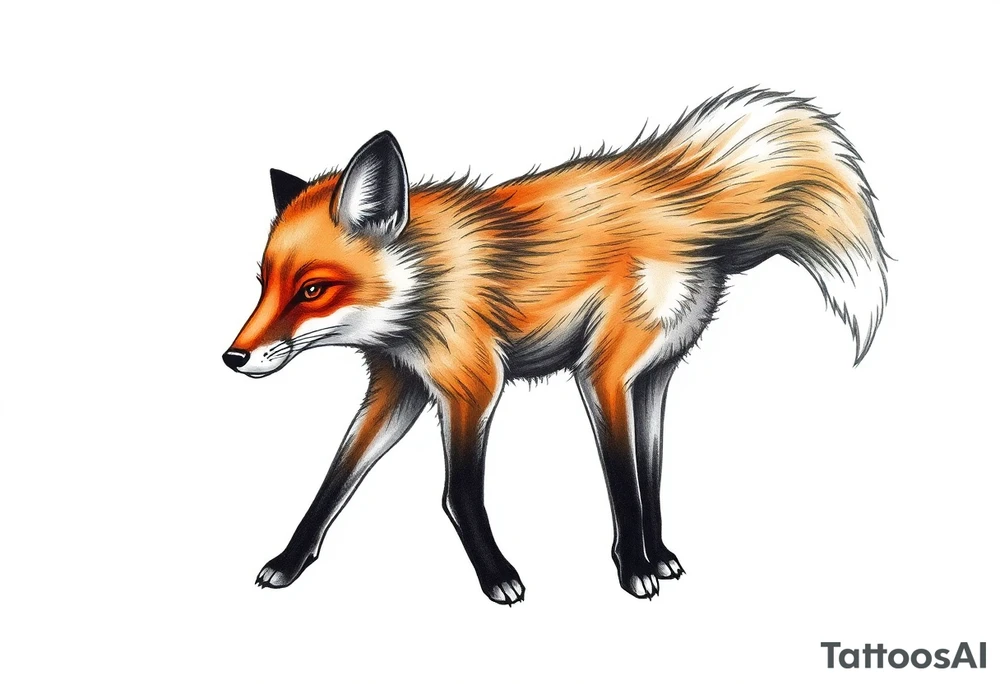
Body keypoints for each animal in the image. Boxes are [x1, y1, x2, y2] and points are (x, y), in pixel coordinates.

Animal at [224, 88, 887, 604]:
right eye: (263, 285)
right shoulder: (400, 386)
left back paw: (639, 565)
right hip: (648, 378)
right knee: (652, 471)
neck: (427, 283)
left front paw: (500, 577)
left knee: (629, 476)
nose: (233, 358)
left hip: (605, 374)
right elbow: (334, 480)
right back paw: (658, 554)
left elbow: (460, 495)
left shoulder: (472, 386)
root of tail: (670, 193)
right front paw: (287, 562)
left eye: (312, 289)